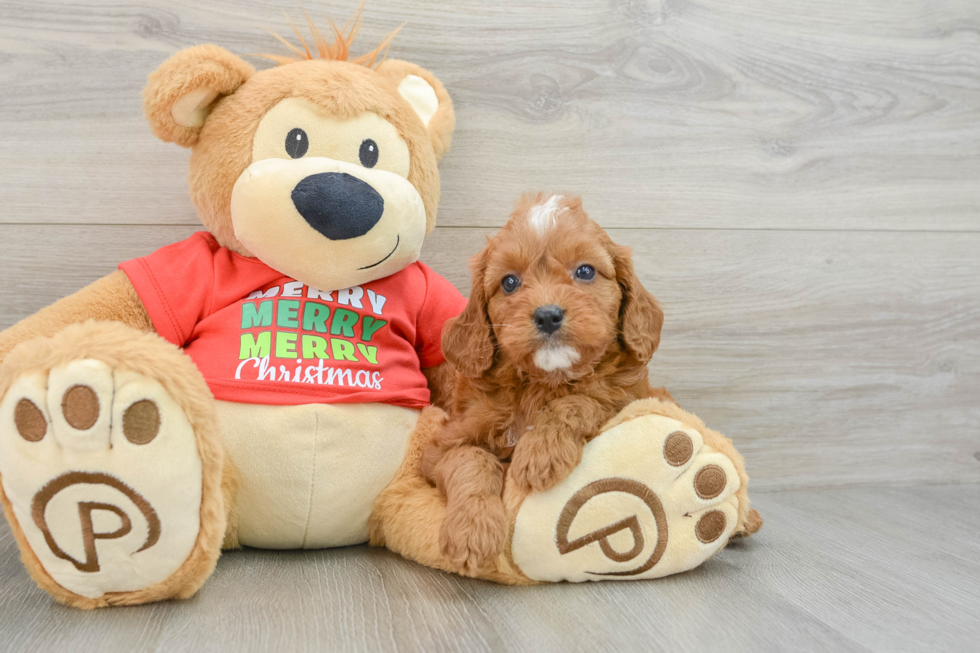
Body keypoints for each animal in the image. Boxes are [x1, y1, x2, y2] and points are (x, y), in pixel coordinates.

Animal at [418, 192, 668, 572]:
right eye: (509, 282)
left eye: (585, 271)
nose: (548, 315)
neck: (542, 382)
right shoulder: (441, 447)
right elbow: (471, 460)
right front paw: (473, 531)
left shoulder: (628, 398)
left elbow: (583, 400)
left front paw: (540, 452)